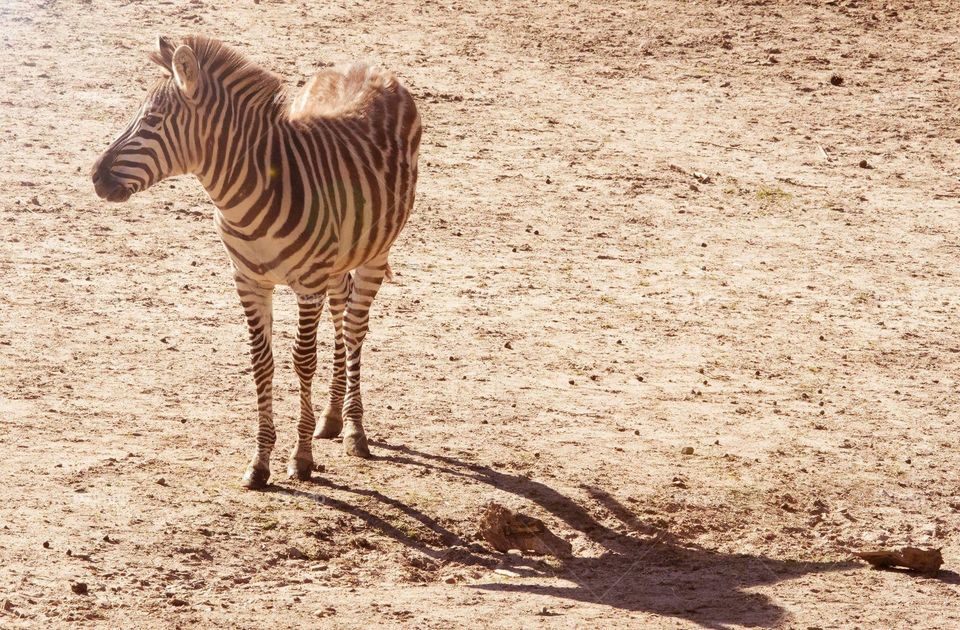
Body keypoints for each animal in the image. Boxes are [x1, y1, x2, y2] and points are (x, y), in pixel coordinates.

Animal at [92, 35, 421, 489]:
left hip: (375, 250)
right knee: (341, 311)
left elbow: (303, 361)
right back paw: (332, 417)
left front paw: (301, 458)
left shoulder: (307, 283)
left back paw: (355, 429)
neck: (247, 192)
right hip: (339, 259)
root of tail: (369, 65)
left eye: (153, 120)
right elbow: (261, 364)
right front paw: (261, 462)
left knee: (355, 327)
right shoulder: (248, 281)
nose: (95, 176)